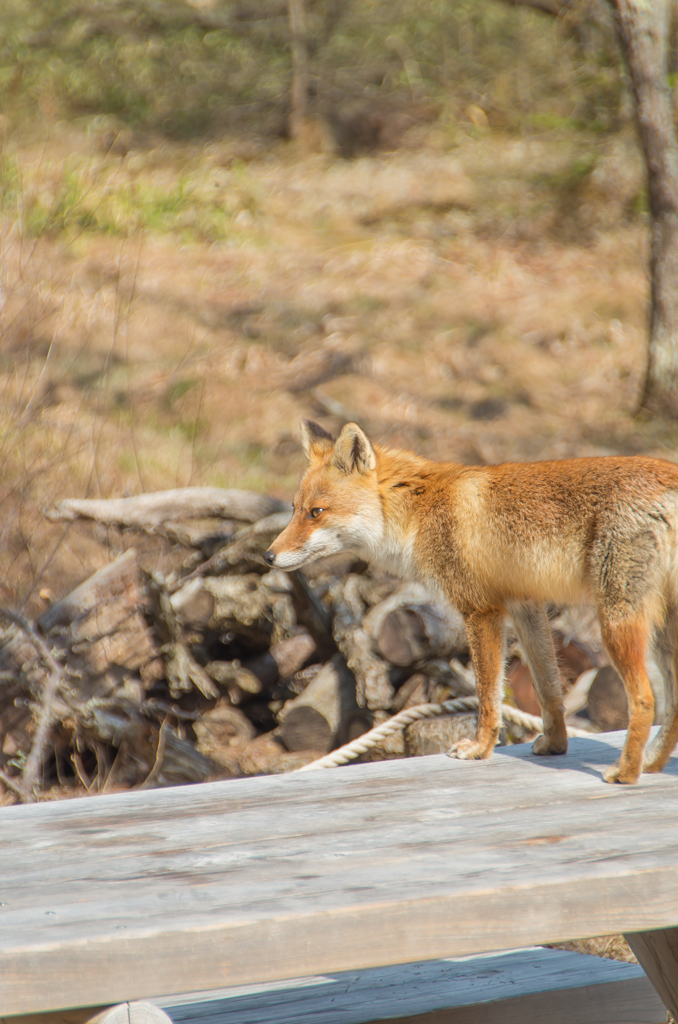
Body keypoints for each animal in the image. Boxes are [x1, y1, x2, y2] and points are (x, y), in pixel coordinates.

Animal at [264, 417, 678, 782]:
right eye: (294, 510)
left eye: (317, 513)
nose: (268, 556)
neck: (418, 511)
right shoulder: (526, 606)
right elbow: (548, 688)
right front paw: (556, 745)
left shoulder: (481, 610)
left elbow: (488, 696)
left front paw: (480, 748)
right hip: (660, 629)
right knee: (672, 703)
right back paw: (652, 763)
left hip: (616, 621)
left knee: (645, 700)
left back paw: (627, 772)